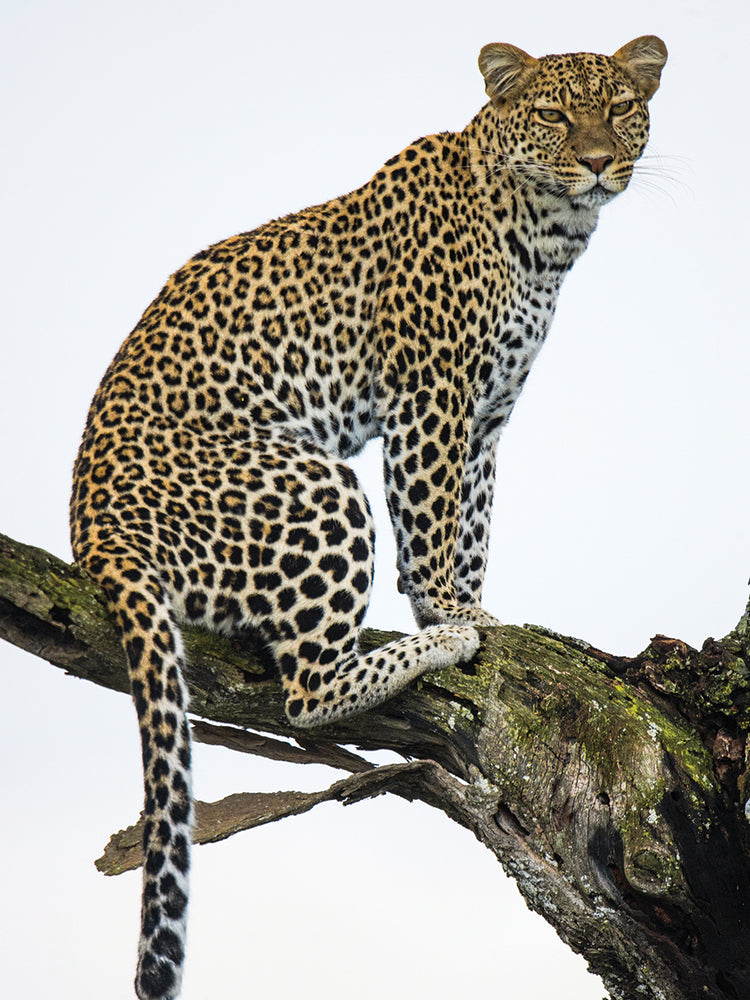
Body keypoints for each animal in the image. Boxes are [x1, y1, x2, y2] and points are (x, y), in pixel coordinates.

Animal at [69, 35, 667, 1000]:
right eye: (552, 114)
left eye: (618, 108)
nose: (595, 160)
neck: (545, 237)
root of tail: (95, 537)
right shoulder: (431, 395)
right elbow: (431, 524)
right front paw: (450, 616)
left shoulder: (487, 414)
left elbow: (473, 522)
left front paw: (477, 605)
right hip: (317, 484)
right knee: (307, 690)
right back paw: (427, 649)